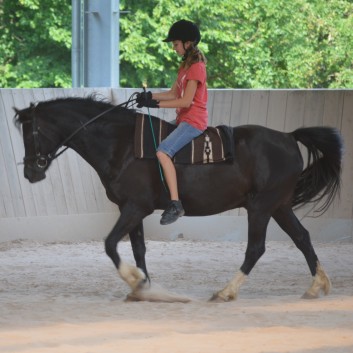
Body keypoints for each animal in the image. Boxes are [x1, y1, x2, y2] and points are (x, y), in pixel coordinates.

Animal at [14, 95, 340, 300]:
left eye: (31, 134)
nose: (30, 171)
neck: (122, 145)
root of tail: (288, 137)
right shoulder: (130, 209)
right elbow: (138, 249)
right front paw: (144, 288)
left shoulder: (135, 208)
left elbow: (110, 244)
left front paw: (134, 281)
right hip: (280, 206)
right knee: (302, 238)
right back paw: (316, 286)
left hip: (261, 208)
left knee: (256, 249)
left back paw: (227, 291)